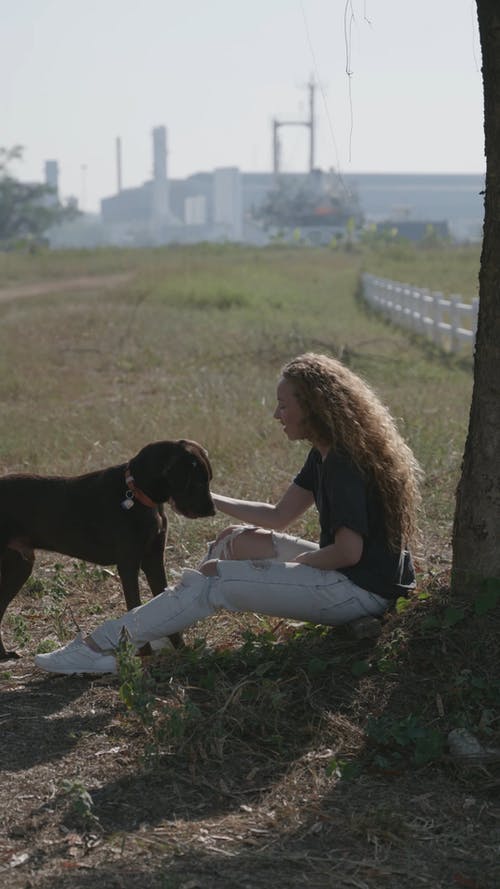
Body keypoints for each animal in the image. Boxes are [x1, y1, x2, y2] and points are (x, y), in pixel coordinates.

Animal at [0, 438, 214, 660]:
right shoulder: (128, 564)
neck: (135, 492)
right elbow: (134, 607)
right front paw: (144, 653)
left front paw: (182, 649)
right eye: (199, 481)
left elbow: (164, 605)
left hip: (19, 566)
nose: (213, 510)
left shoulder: (154, 560)